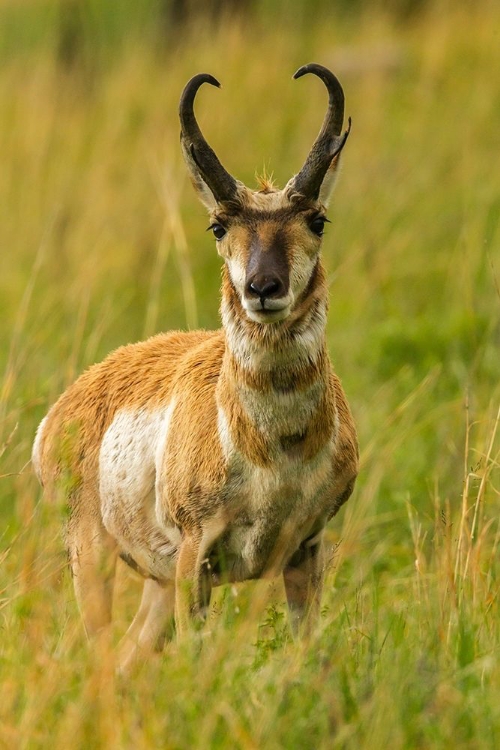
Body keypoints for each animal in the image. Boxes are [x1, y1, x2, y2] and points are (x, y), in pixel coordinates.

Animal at [31, 61, 358, 668]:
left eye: (318, 220)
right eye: (218, 225)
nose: (263, 288)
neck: (274, 452)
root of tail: (67, 404)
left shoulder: (307, 550)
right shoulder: (194, 558)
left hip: (155, 587)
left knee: (128, 656)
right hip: (95, 558)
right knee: (100, 656)